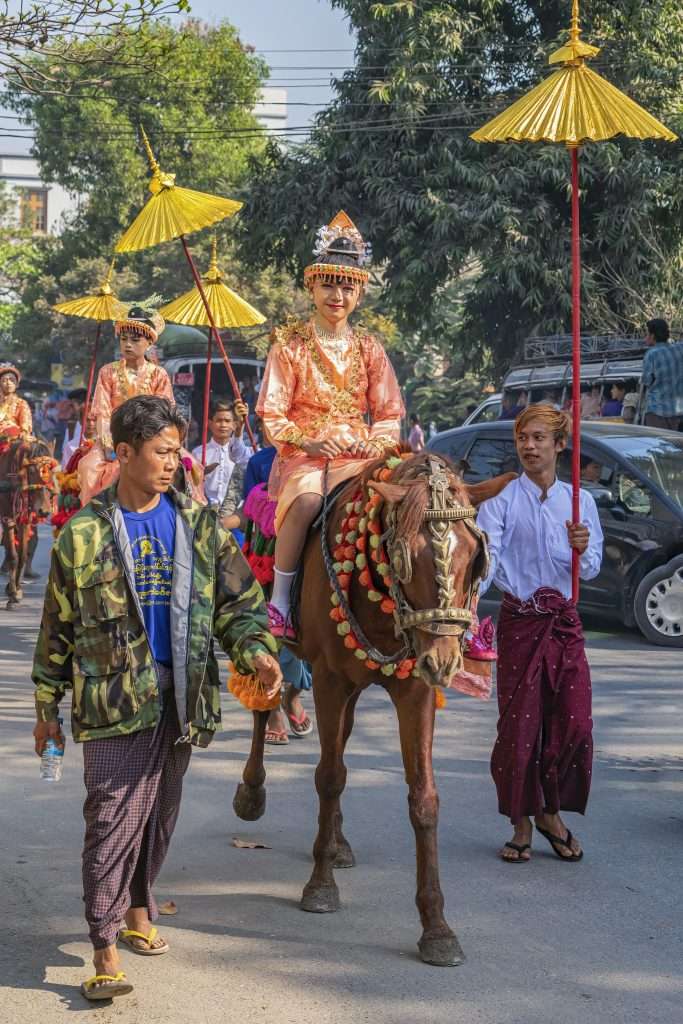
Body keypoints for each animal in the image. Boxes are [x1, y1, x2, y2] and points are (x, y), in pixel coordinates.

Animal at [0, 434, 57, 606]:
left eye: (52, 472)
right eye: (31, 471)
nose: (44, 510)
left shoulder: (25, 520)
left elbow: (23, 554)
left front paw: (16, 588)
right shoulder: (7, 519)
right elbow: (13, 555)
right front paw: (12, 593)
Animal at [235, 456, 511, 966]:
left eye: (476, 559)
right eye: (403, 556)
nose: (445, 661)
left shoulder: (414, 688)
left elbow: (423, 797)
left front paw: (436, 927)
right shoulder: (329, 680)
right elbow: (328, 777)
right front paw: (320, 886)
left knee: (342, 742)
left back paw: (339, 841)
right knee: (267, 706)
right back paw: (252, 791)